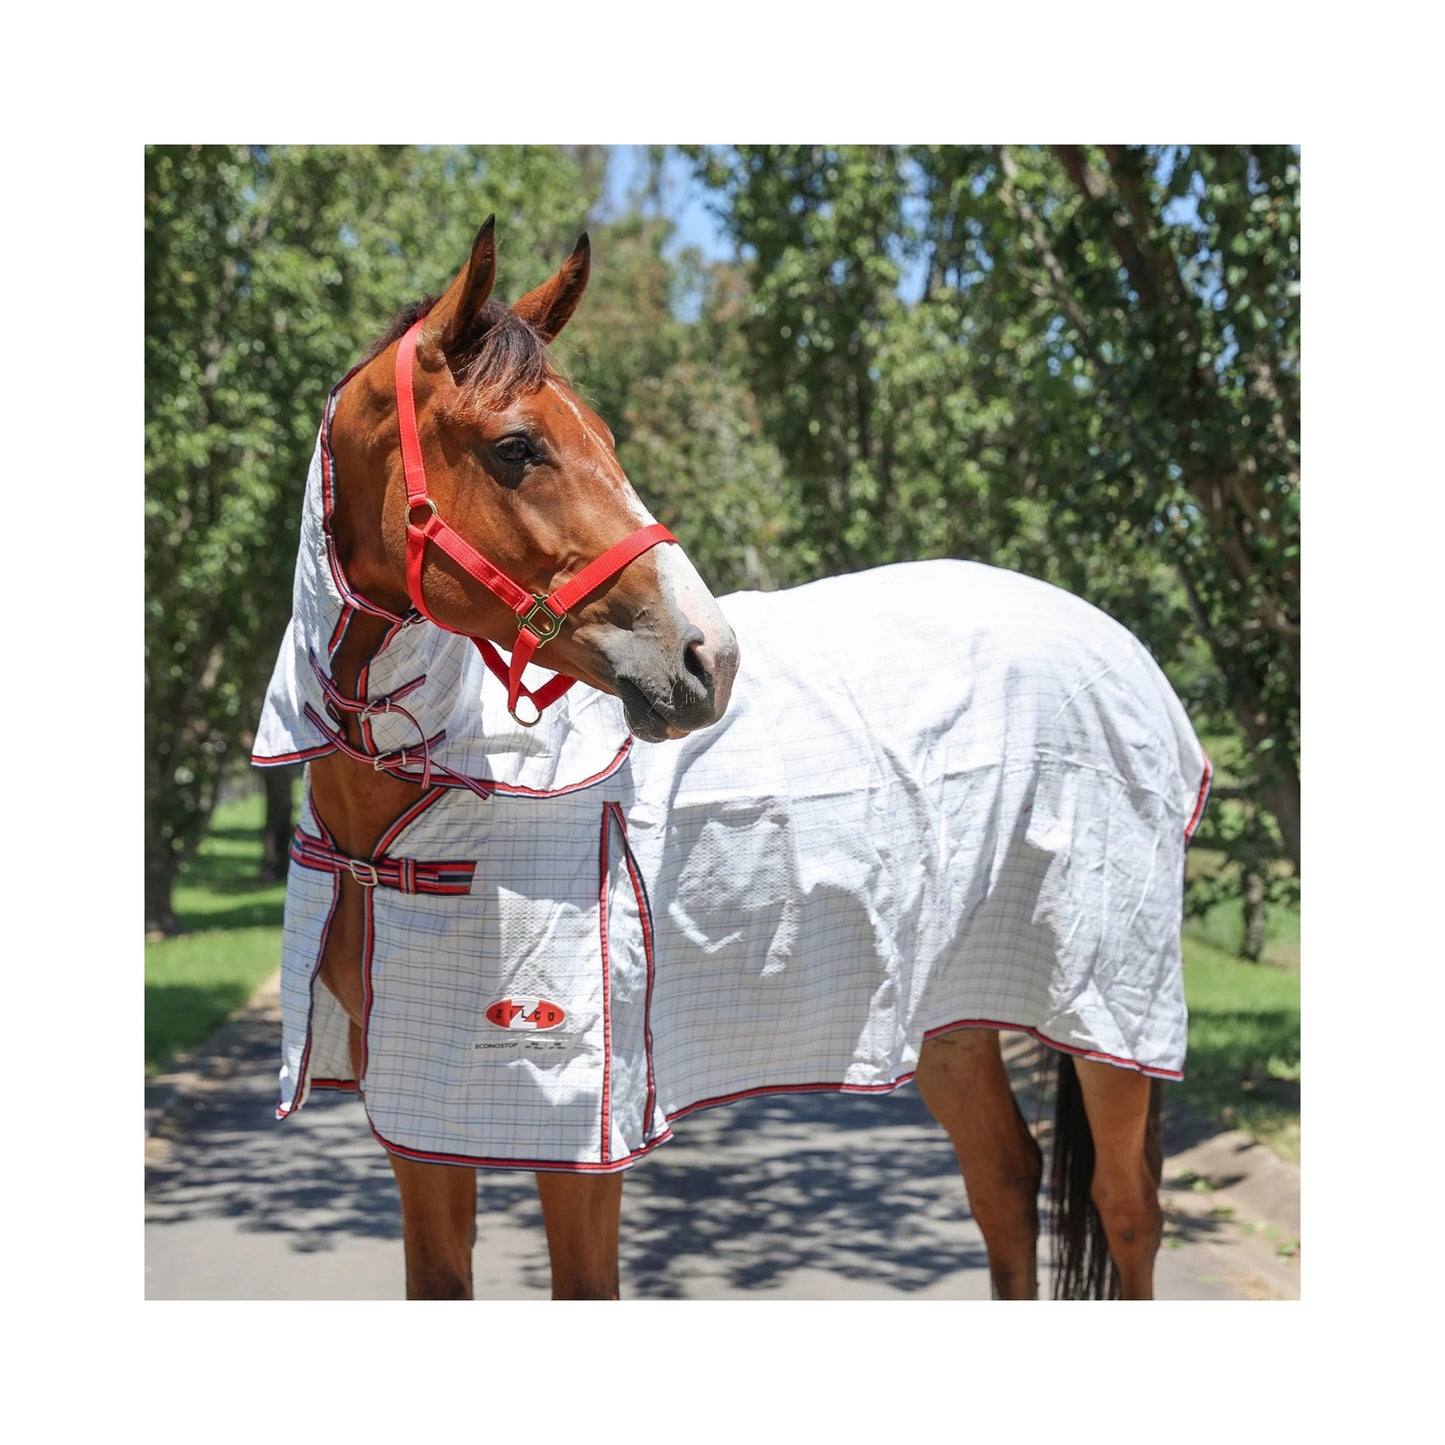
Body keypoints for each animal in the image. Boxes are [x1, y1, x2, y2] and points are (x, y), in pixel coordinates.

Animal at [253, 217, 1211, 1301]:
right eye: (515, 446)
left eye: (606, 439)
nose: (705, 656)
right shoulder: (419, 1131)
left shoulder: (579, 1147)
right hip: (947, 1009)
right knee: (1003, 1180)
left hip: (1108, 1021)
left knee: (1125, 1211)